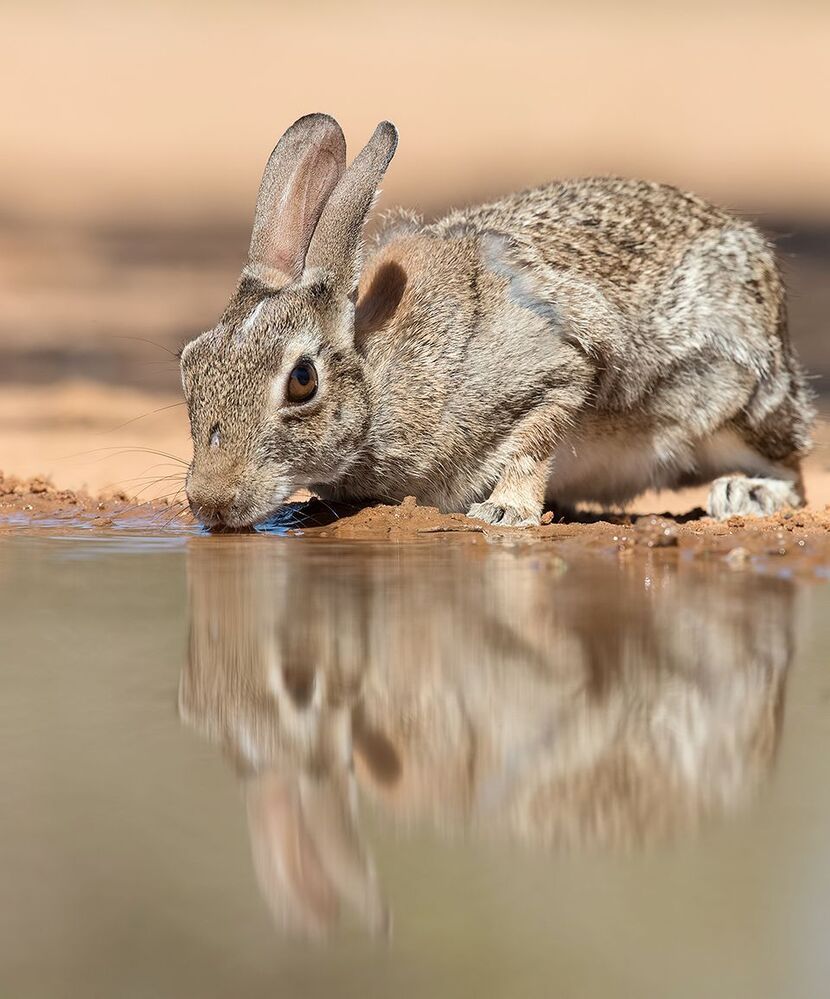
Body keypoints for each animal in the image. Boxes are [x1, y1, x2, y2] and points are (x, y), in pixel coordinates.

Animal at [180, 112, 814, 528]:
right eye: (191, 365)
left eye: (302, 381)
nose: (210, 502)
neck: (376, 378)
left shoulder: (558, 370)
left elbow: (534, 441)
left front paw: (506, 511)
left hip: (737, 396)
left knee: (795, 477)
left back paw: (743, 497)